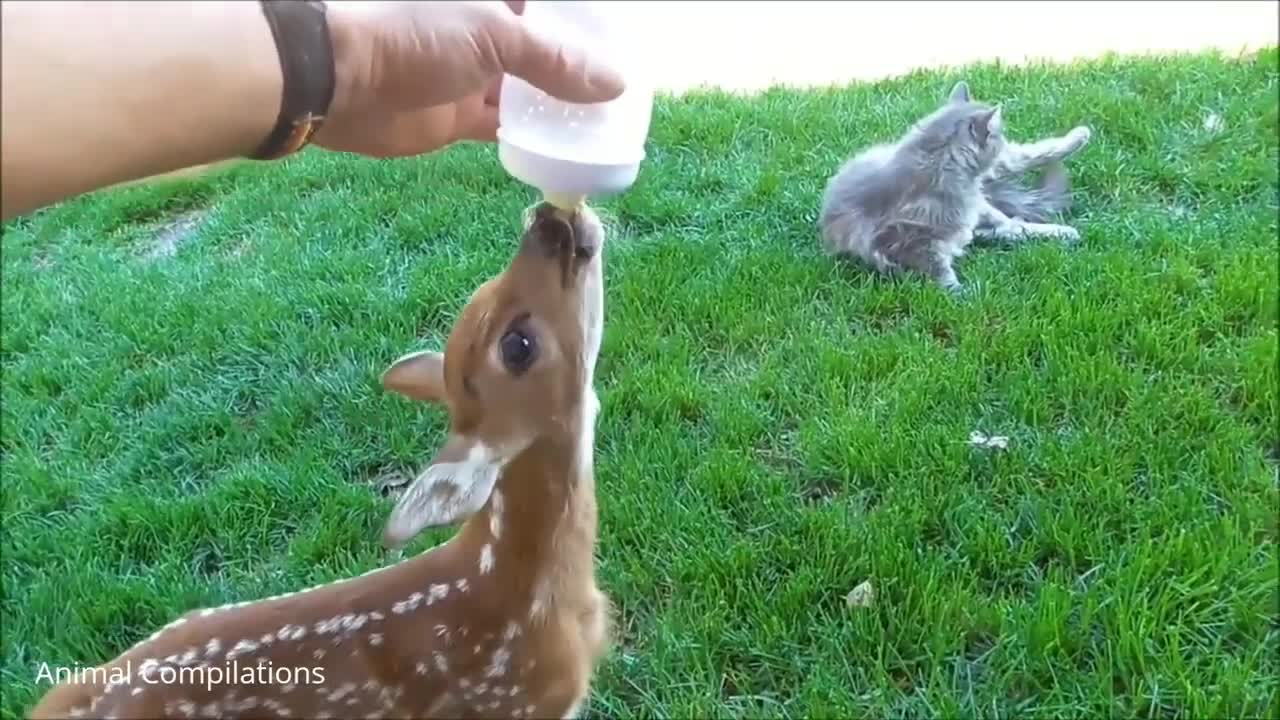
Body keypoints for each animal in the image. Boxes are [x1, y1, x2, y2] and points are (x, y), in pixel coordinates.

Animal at [819, 81, 1090, 288]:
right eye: (997, 135)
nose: (1003, 140)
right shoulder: (907, 244)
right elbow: (942, 274)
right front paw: (963, 296)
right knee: (1010, 222)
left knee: (1024, 164)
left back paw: (1080, 137)